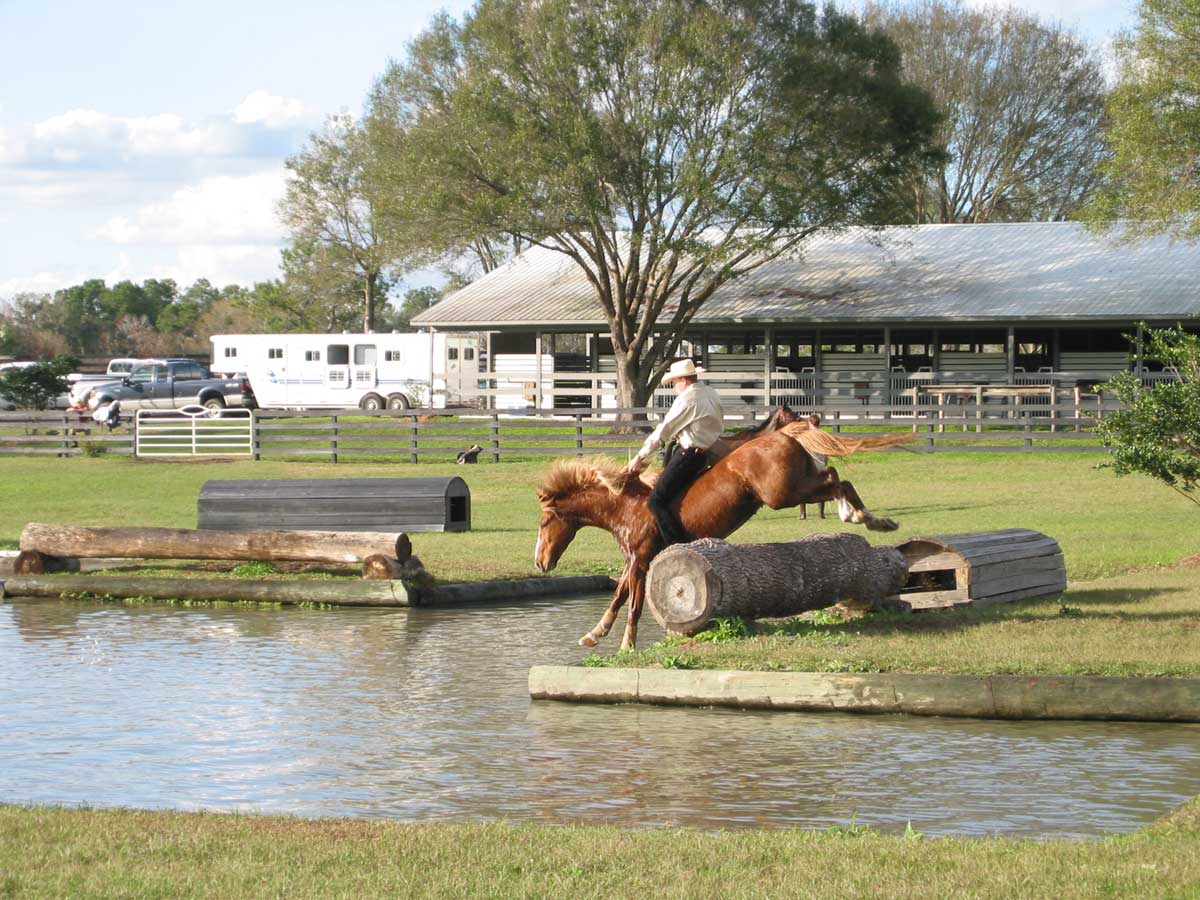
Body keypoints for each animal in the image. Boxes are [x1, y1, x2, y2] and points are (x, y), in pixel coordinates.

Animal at [535, 420, 907, 652]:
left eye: (544, 522)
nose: (540, 563)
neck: (625, 506)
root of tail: (784, 434)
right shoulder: (635, 561)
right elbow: (619, 596)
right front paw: (594, 635)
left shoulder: (640, 560)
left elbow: (632, 603)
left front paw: (626, 645)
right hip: (794, 486)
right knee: (836, 477)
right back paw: (873, 520)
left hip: (782, 494)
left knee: (834, 479)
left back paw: (863, 517)